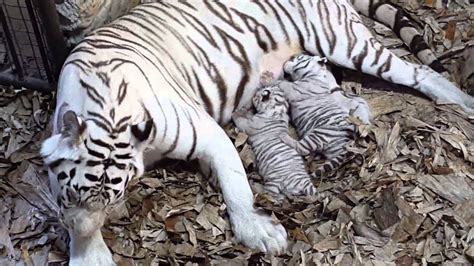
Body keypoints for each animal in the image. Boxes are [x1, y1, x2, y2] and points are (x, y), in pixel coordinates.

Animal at [41, 0, 474, 264]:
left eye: (115, 197)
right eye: (72, 195)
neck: (106, 109)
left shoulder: (208, 132)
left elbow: (238, 187)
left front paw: (261, 233)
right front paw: (88, 251)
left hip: (345, 42)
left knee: (418, 72)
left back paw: (463, 101)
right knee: (333, 88)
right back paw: (357, 110)